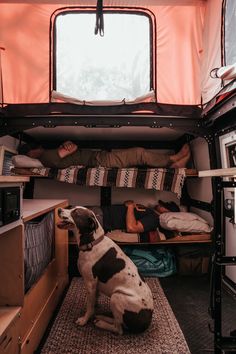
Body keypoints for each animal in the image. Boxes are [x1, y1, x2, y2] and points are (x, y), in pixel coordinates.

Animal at [56, 205, 153, 334]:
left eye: (76, 213)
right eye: (72, 208)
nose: (59, 209)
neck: (92, 243)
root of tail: (147, 322)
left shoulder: (90, 283)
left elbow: (89, 306)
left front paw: (84, 320)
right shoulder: (94, 286)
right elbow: (93, 302)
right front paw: (94, 310)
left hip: (116, 297)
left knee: (119, 329)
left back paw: (101, 323)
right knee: (117, 321)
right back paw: (102, 317)